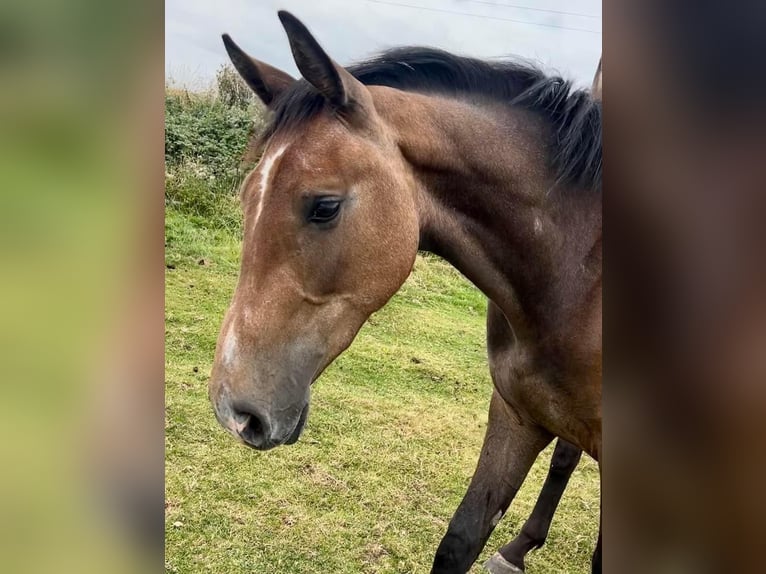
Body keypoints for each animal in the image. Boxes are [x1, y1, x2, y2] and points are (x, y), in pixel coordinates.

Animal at [207, 10, 604, 574]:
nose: (234, 413)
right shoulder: (516, 415)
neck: (575, 274)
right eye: (247, 197)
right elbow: (460, 539)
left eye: (324, 206)